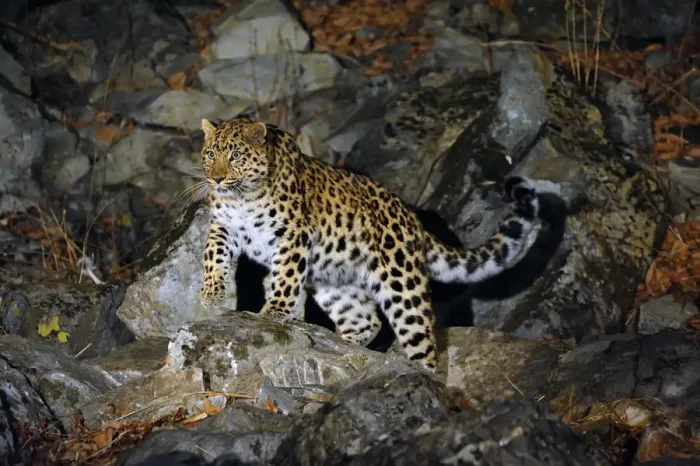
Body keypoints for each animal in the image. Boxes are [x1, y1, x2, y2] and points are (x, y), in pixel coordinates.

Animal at [198, 116, 541, 373]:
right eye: (211, 155)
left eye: (236, 155)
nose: (216, 179)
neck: (242, 197)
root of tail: (414, 221)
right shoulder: (223, 227)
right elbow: (213, 256)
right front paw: (212, 293)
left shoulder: (293, 235)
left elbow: (285, 277)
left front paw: (275, 311)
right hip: (335, 282)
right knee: (366, 321)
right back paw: (342, 347)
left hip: (403, 288)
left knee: (423, 342)